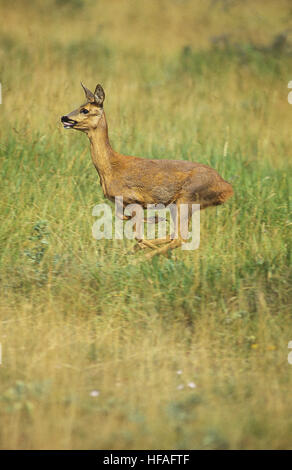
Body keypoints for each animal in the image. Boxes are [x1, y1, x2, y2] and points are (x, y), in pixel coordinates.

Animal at [61, 81, 233, 258]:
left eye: (85, 110)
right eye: (80, 106)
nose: (64, 118)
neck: (110, 168)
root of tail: (227, 187)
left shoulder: (134, 199)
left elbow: (138, 235)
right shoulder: (121, 203)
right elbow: (124, 219)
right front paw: (154, 221)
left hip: (187, 199)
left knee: (180, 237)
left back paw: (145, 257)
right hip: (179, 204)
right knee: (174, 235)